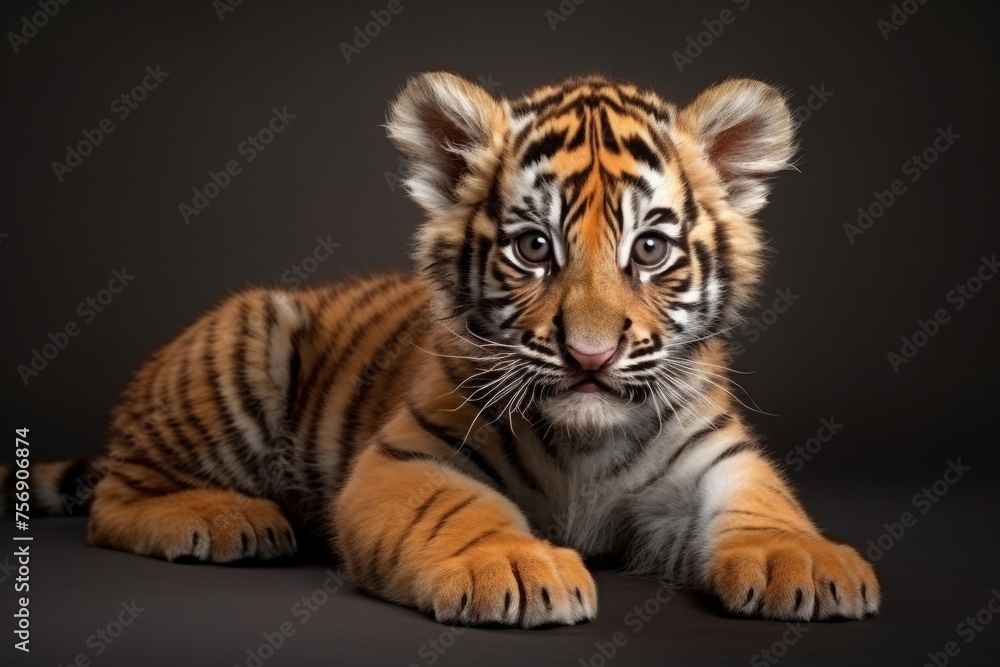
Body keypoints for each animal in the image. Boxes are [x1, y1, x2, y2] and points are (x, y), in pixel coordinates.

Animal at [3, 71, 880, 628]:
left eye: (651, 250)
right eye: (533, 248)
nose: (591, 357)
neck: (587, 445)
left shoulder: (717, 453)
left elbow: (765, 504)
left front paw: (808, 562)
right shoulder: (406, 458)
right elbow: (456, 510)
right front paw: (518, 564)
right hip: (247, 344)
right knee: (117, 502)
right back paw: (227, 518)